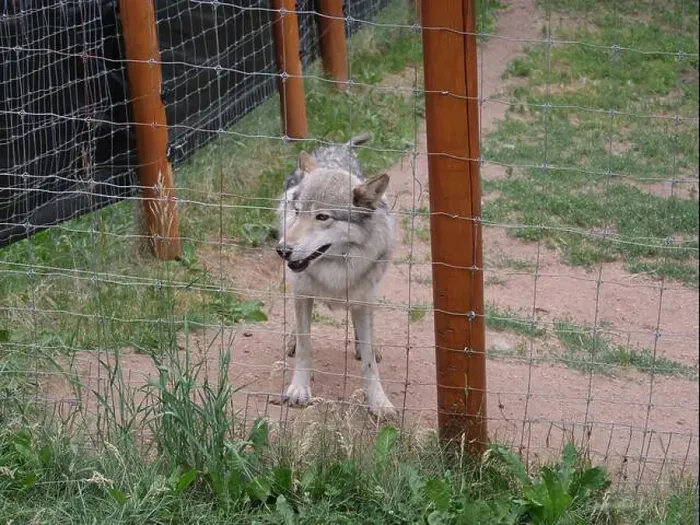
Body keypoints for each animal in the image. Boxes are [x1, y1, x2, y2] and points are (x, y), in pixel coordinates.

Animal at [275, 134, 396, 418]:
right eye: (298, 212)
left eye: (322, 217)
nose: (283, 250)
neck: (335, 268)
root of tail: (337, 148)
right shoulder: (302, 294)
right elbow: (306, 347)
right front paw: (299, 390)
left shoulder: (363, 299)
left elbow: (370, 364)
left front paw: (378, 402)